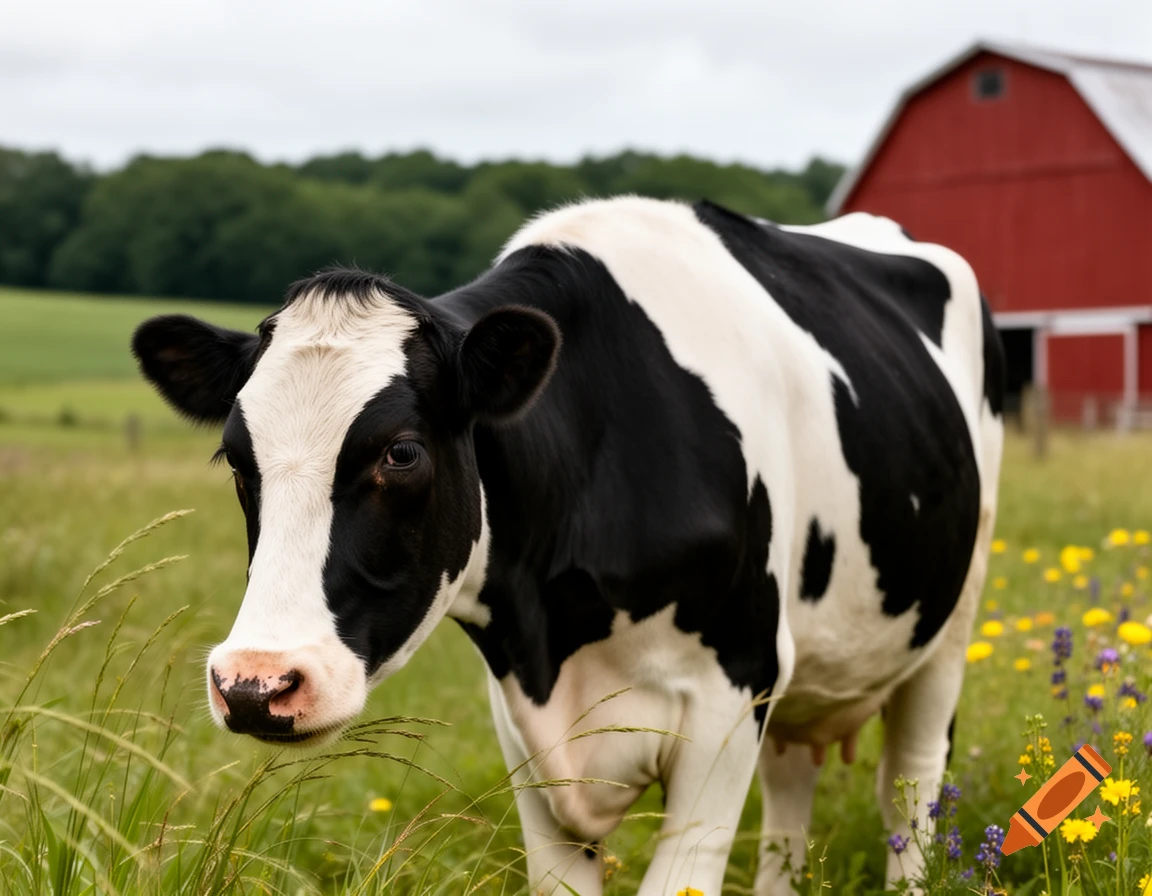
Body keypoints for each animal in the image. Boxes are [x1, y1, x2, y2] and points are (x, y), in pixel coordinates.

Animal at [132, 196, 1004, 896]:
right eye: (235, 458)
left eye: (401, 453)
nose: (255, 685)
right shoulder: (525, 720)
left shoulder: (735, 684)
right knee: (794, 785)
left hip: (947, 625)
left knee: (911, 786)